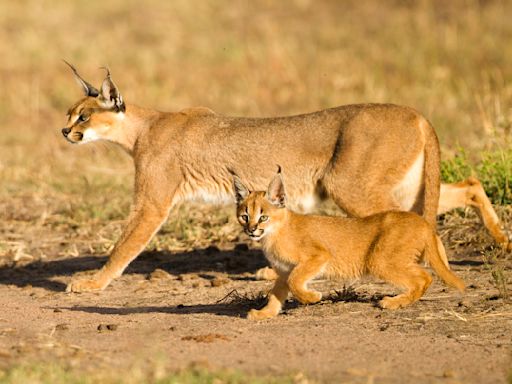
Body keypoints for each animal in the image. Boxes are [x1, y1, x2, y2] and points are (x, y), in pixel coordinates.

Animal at [234, 169, 466, 320]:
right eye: (244, 216)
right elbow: (277, 292)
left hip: (379, 260)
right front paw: (265, 313)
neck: (274, 234)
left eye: (263, 217)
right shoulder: (283, 271)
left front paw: (312, 297)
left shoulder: (318, 256)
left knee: (424, 278)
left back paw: (393, 302)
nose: (252, 229)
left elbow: (295, 281)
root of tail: (422, 221)